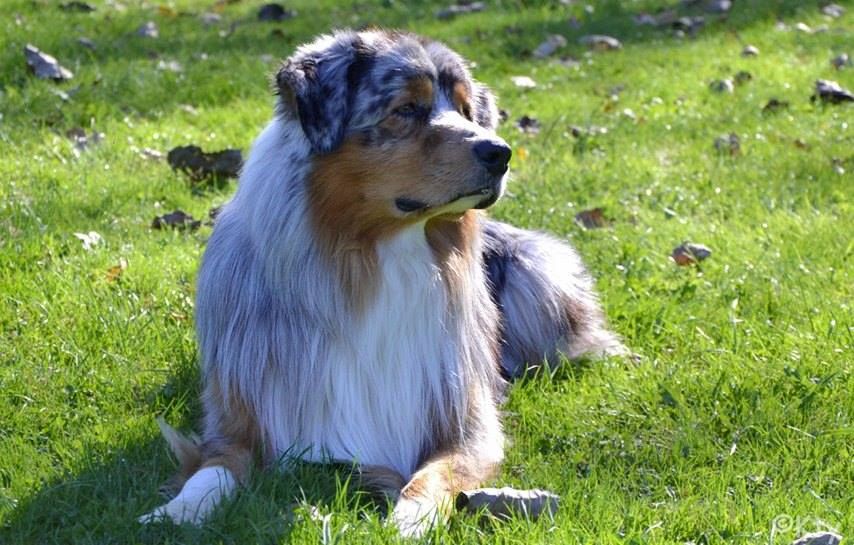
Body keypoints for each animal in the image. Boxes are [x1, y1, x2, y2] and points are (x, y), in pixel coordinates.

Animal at [139, 29, 624, 537]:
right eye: (406, 109)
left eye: (466, 109)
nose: (501, 152)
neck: (378, 256)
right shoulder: (239, 418)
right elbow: (212, 470)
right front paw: (176, 510)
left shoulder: (466, 426)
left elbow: (434, 475)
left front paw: (410, 520)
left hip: (539, 272)